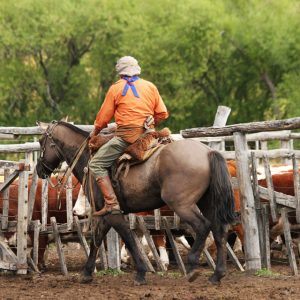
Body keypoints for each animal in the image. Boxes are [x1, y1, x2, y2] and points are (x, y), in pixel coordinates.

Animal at [35, 120, 236, 284]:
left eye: (40, 141)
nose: (39, 169)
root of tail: (208, 152)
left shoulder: (112, 213)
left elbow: (128, 238)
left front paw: (140, 272)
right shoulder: (104, 214)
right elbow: (97, 239)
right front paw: (86, 273)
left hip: (182, 204)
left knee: (202, 226)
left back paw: (193, 265)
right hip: (207, 202)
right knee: (219, 229)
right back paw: (217, 275)